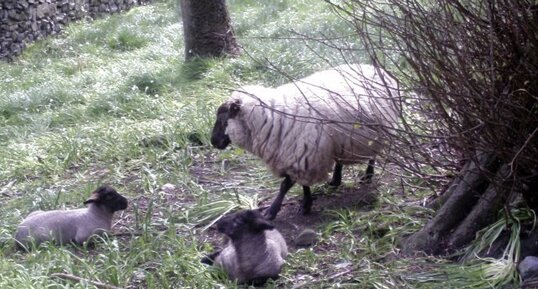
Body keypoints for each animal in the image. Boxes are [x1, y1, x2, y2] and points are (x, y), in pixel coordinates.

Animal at [209, 62, 398, 218]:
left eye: (223, 120)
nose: (213, 142)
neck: (273, 117)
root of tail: (374, 67)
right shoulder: (299, 156)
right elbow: (302, 184)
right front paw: (306, 204)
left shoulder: (304, 155)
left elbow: (285, 185)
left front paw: (273, 211)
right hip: (341, 139)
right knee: (340, 158)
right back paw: (335, 181)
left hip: (378, 131)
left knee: (373, 154)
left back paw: (368, 175)